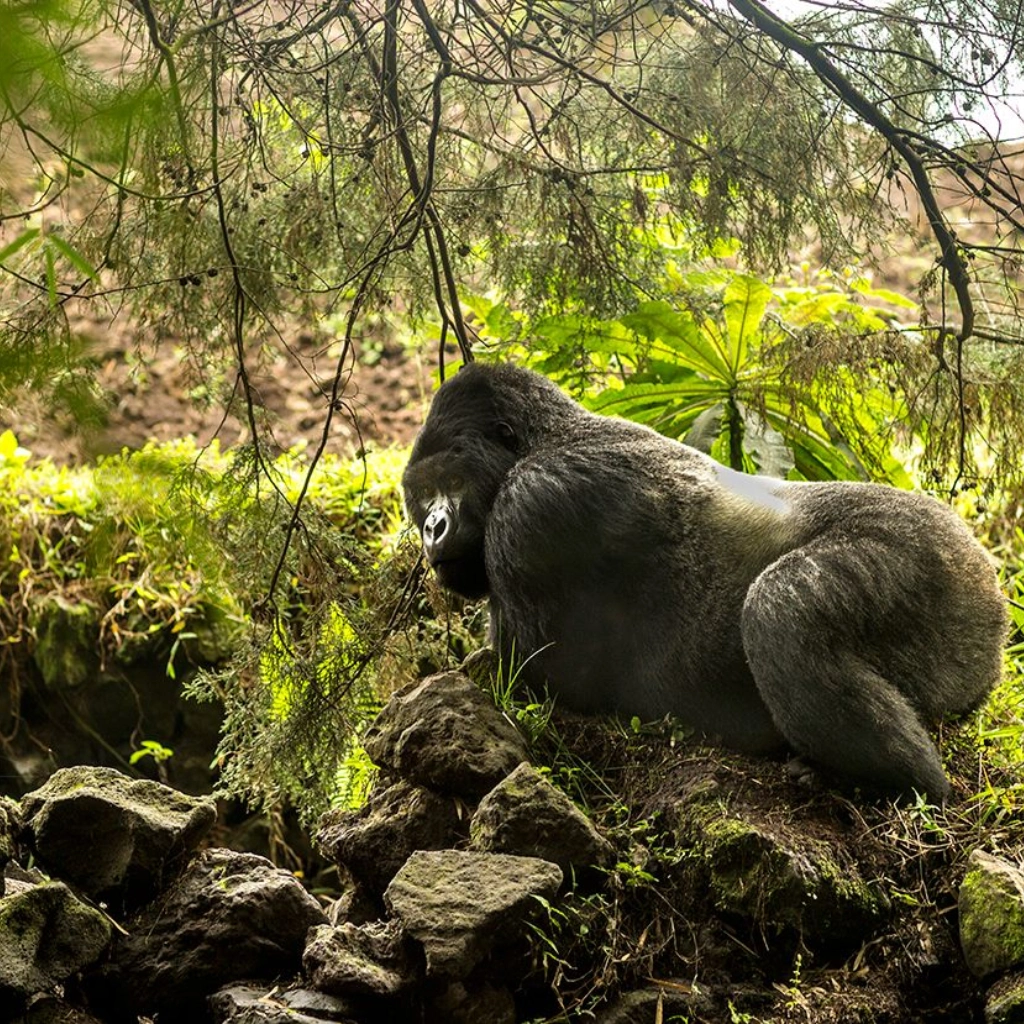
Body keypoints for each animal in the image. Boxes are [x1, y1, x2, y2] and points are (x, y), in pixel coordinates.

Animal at [402, 362, 1008, 799]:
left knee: (779, 609)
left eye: (450, 480)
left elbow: (532, 676)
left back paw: (893, 780)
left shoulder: (534, 504)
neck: (546, 438)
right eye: (421, 495)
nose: (432, 528)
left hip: (937, 560)